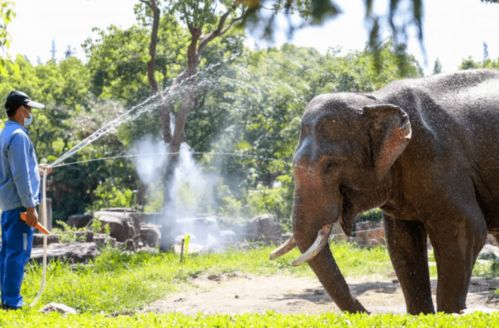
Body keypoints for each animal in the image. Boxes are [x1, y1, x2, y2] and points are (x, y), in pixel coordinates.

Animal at [272, 68, 499, 312]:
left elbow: (467, 228)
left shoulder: (440, 158)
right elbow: (401, 243)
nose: (368, 312)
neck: (375, 100)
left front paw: (451, 314)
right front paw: (421, 316)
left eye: (331, 165)